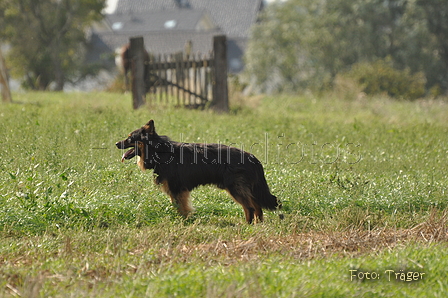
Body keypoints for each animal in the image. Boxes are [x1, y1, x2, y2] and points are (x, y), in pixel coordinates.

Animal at [117, 120, 282, 222]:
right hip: (246, 188)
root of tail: (252, 157)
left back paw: (247, 225)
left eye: (130, 138)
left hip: (235, 188)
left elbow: (180, 208)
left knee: (250, 207)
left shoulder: (176, 189)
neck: (160, 151)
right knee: (257, 206)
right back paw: (258, 225)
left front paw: (183, 222)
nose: (116, 143)